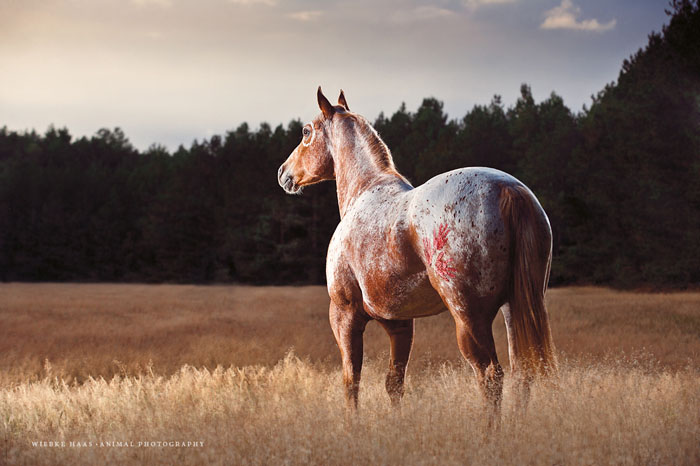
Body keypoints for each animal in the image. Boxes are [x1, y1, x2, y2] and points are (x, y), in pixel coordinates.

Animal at [276, 87, 556, 412]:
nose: (283, 173)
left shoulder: (344, 315)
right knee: (523, 373)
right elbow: (394, 384)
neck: (365, 191)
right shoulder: (399, 323)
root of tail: (507, 189)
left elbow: (351, 382)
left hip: (470, 318)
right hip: (515, 308)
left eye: (306, 131)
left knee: (490, 376)